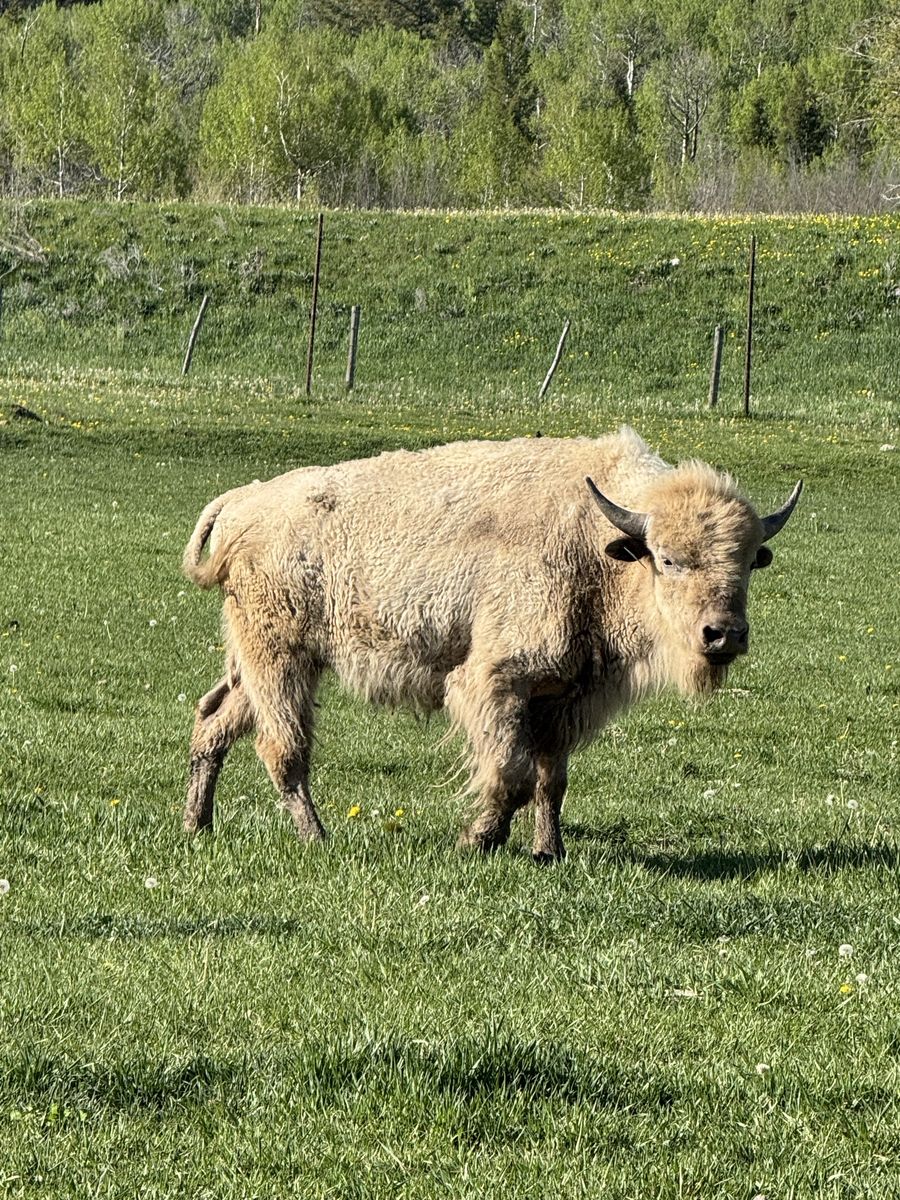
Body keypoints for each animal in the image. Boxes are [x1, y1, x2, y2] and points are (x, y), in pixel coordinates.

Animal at [182, 427, 801, 861]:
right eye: (668, 559)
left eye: (749, 561)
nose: (723, 634)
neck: (597, 543)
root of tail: (243, 500)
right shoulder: (496, 682)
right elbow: (512, 771)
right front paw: (479, 839)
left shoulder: (563, 697)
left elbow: (552, 780)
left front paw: (550, 851)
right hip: (281, 659)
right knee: (283, 749)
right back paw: (317, 837)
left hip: (260, 665)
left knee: (214, 719)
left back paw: (197, 824)